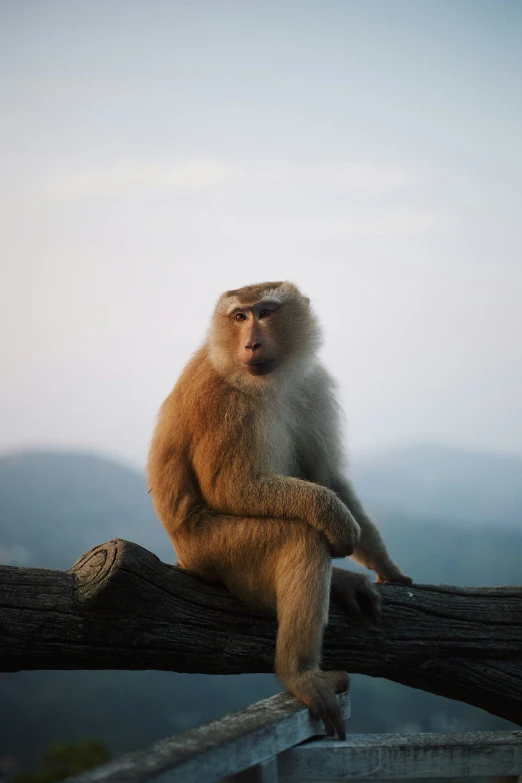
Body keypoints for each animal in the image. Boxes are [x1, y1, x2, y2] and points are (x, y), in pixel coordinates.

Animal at [147, 282, 410, 740]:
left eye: (265, 313)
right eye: (239, 317)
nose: (251, 342)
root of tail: (182, 557)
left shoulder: (313, 385)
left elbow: (329, 474)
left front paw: (386, 566)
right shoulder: (220, 399)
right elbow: (231, 487)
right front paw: (335, 519)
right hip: (211, 550)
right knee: (299, 537)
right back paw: (299, 673)